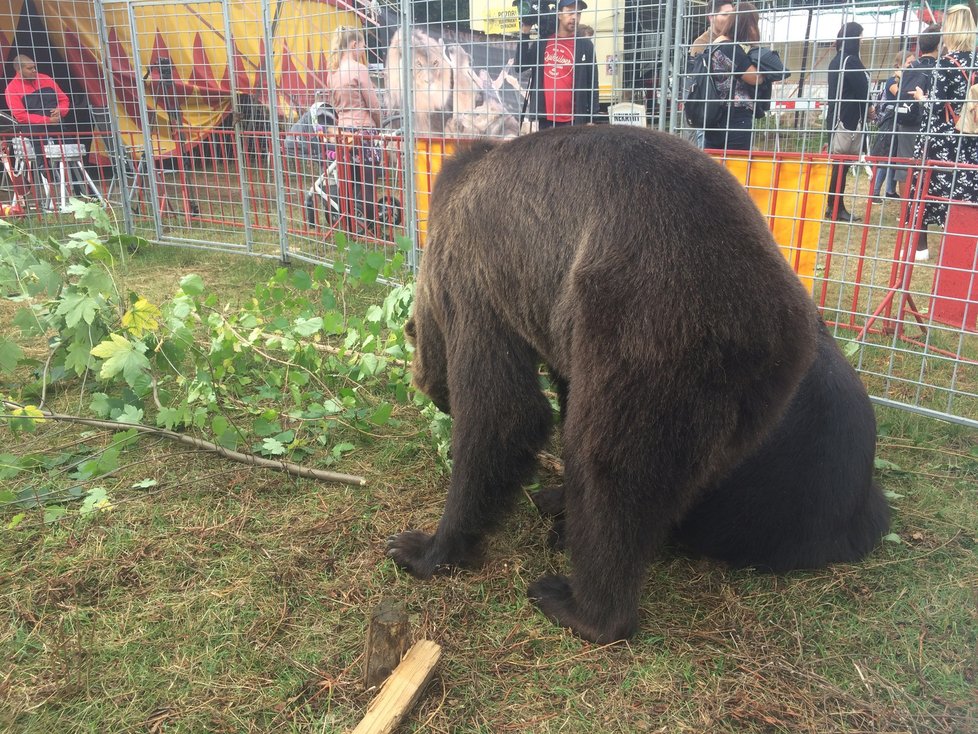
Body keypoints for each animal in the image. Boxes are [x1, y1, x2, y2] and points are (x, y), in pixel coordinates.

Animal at [386, 126, 888, 644]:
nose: (440, 401)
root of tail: (772, 327)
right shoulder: (559, 322)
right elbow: (558, 393)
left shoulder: (479, 278)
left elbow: (503, 412)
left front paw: (422, 546)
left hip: (650, 329)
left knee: (611, 468)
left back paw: (578, 603)